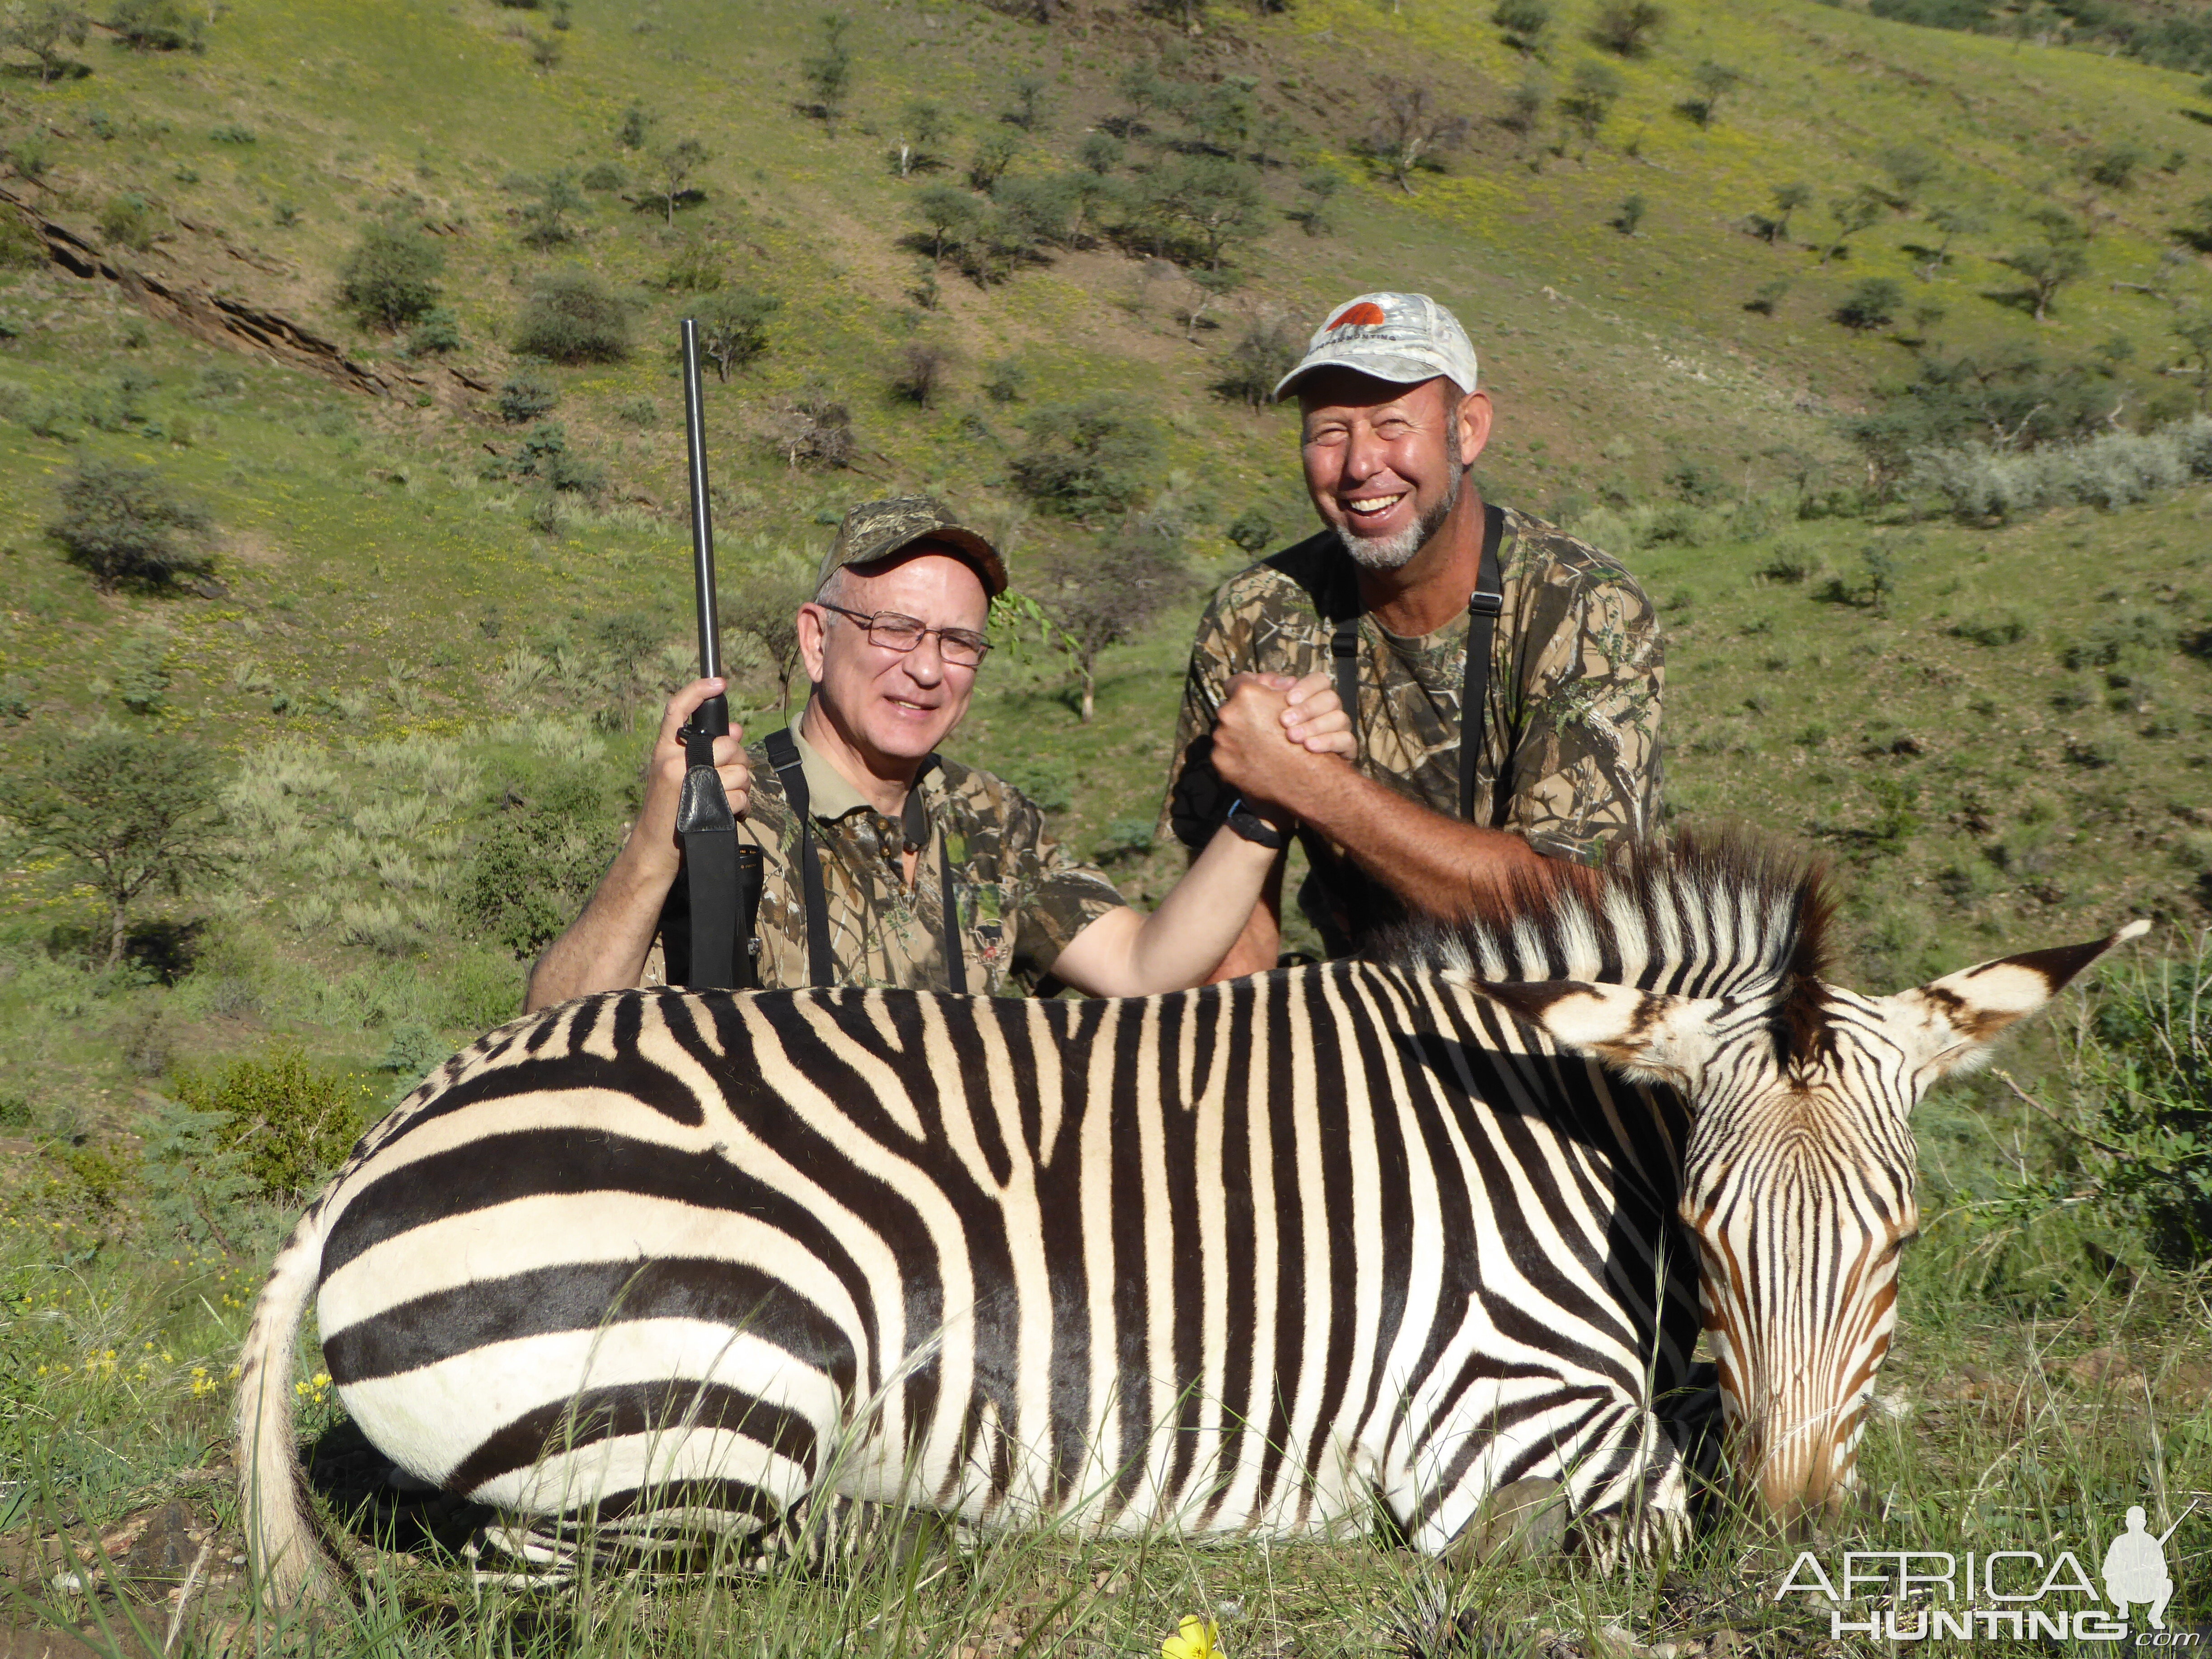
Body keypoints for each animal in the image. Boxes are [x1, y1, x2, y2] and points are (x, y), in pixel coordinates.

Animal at [238, 836, 2141, 1601]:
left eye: (1900, 1242)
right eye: (1704, 1225)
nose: (1799, 1533)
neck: (1557, 1143)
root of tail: (403, 1113)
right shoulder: (1479, 1421)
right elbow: (1634, 1513)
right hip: (727, 1369)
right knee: (587, 1568)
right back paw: (934, 1538)